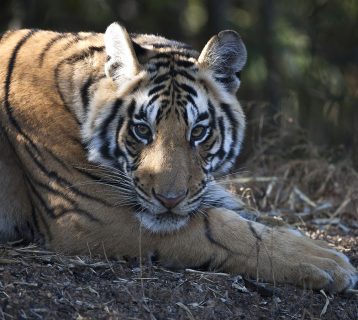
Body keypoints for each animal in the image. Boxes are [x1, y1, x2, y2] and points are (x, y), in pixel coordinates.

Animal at [0, 22, 356, 292]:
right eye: (142, 130)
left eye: (197, 132)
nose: (169, 200)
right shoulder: (92, 213)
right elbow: (224, 228)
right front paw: (326, 263)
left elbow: (258, 217)